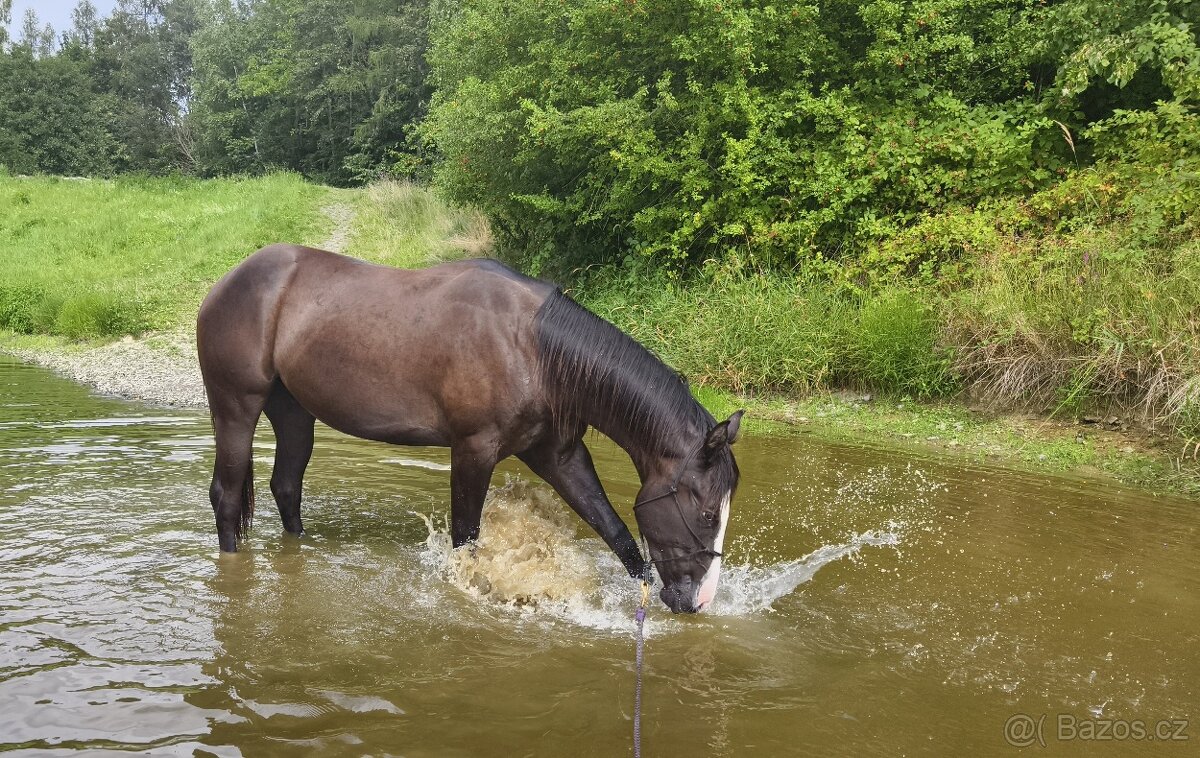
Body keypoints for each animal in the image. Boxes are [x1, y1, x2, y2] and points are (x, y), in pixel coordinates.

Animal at [196, 244, 742, 613]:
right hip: (236, 409)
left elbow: (615, 531)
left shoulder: (558, 454)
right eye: (707, 511)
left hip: (294, 415)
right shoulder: (473, 451)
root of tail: (228, 280)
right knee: (226, 494)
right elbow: (466, 540)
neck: (533, 349)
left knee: (286, 486)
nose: (700, 600)